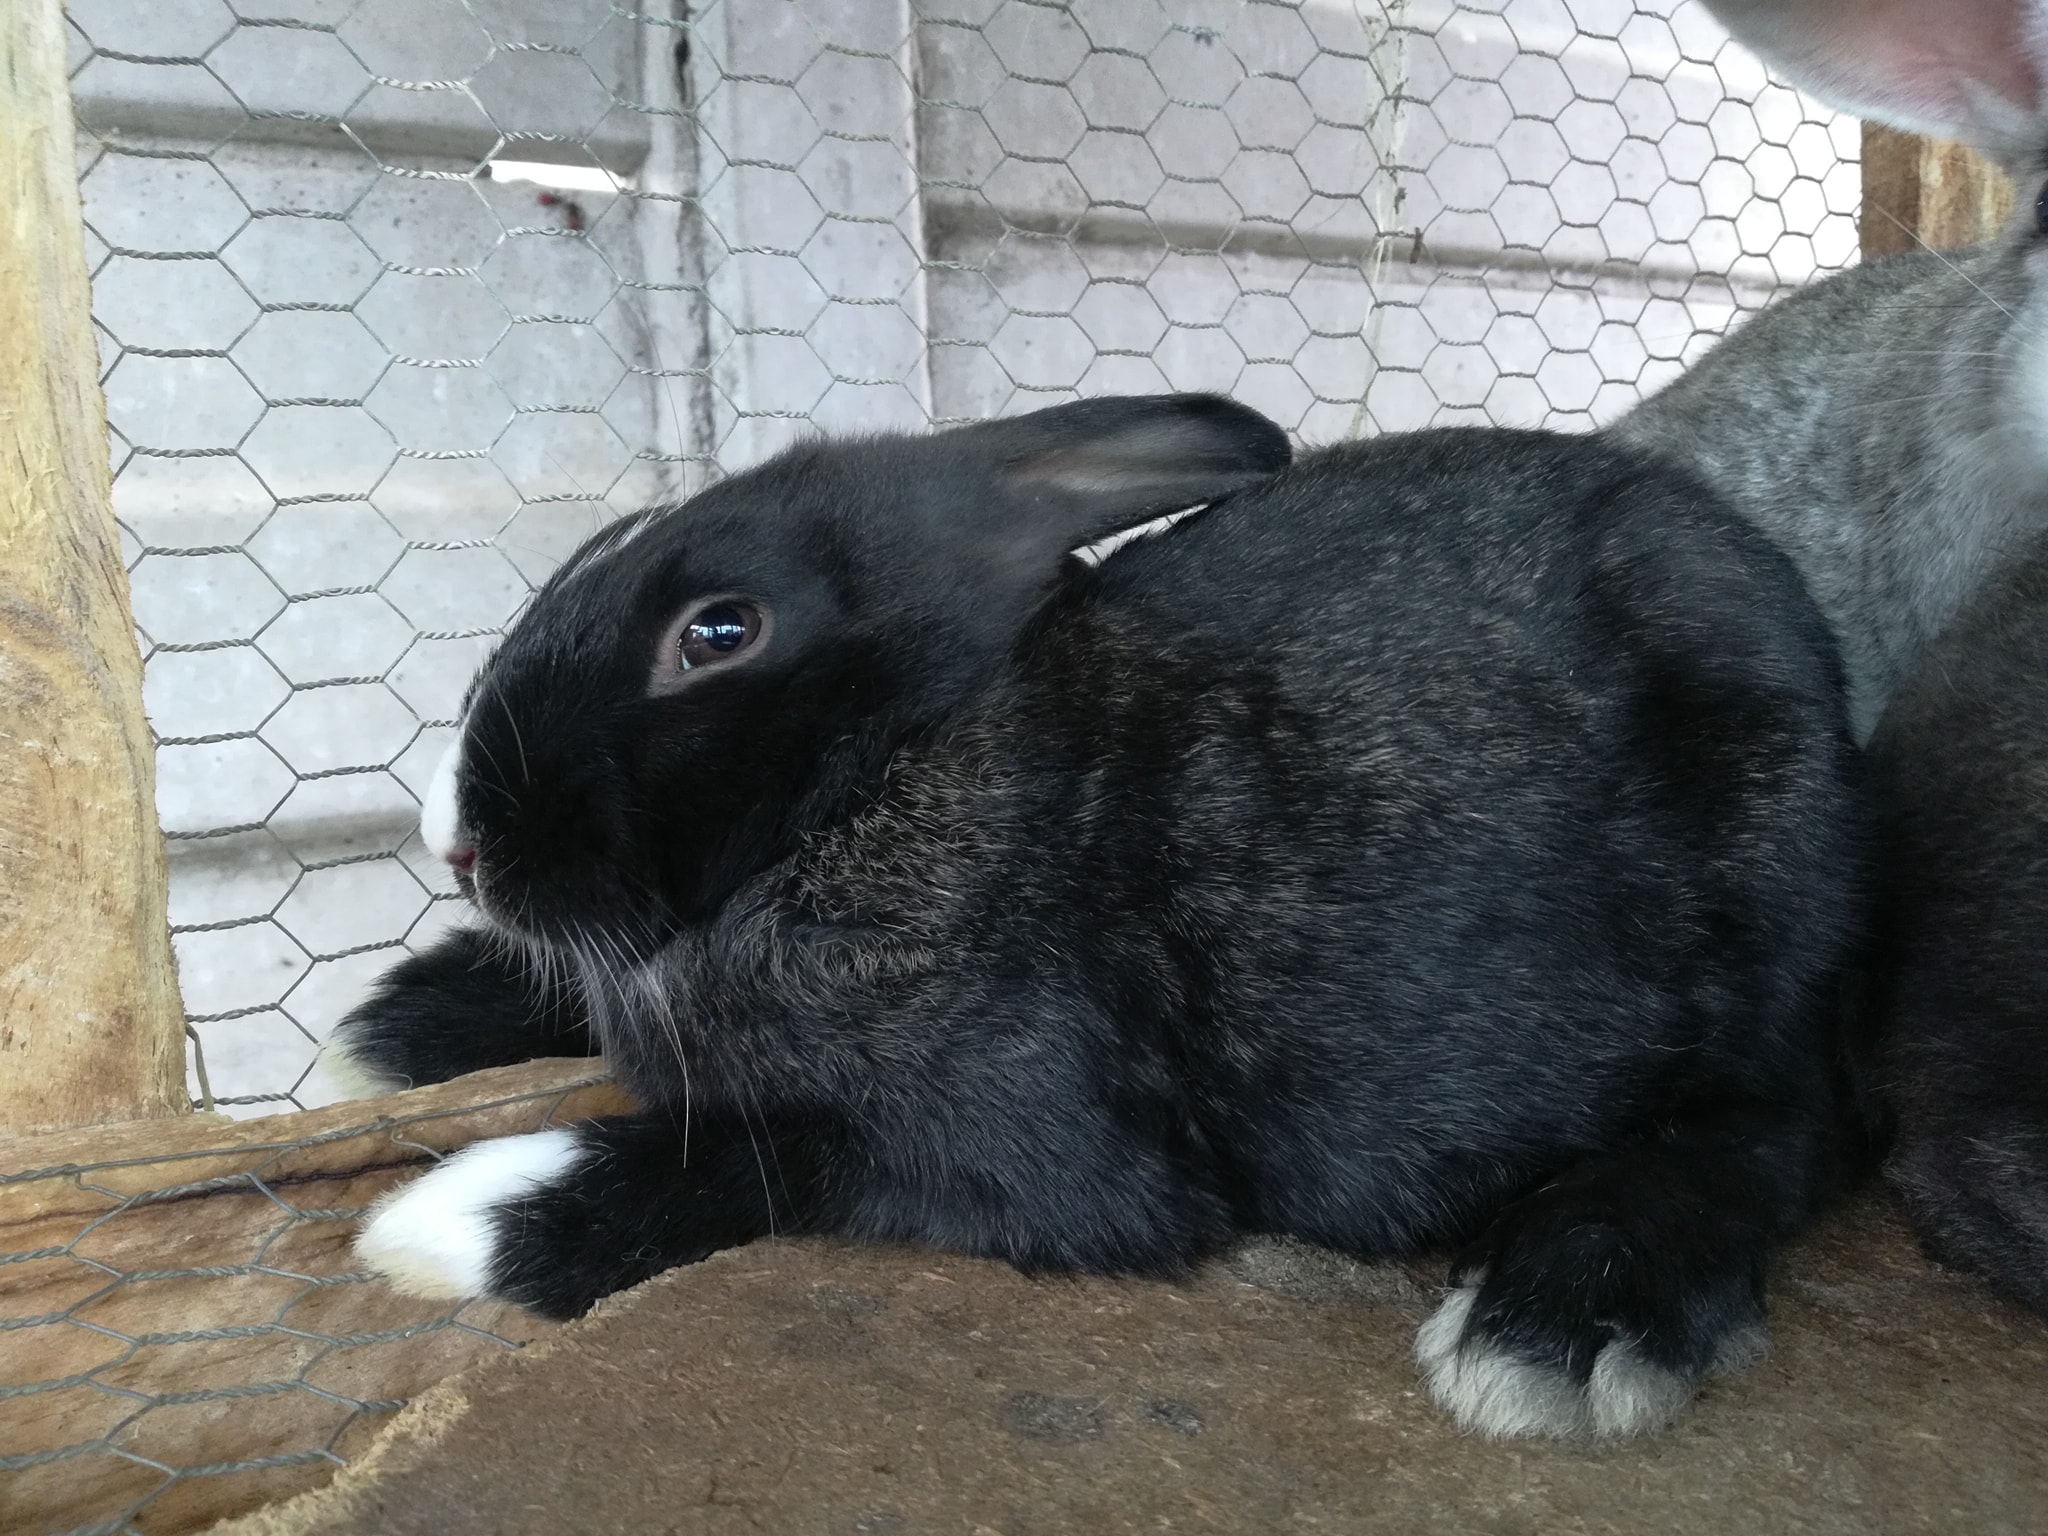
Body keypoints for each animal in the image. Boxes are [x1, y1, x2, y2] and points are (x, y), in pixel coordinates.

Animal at [330, 393, 1866, 1439]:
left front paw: (444, 1222)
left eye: (717, 633)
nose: (456, 844)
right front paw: (391, 1027)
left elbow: (754, 1160)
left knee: (1769, 1132)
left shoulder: (1028, 1146)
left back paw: (1562, 1319)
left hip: (1769, 904)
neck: (885, 771)